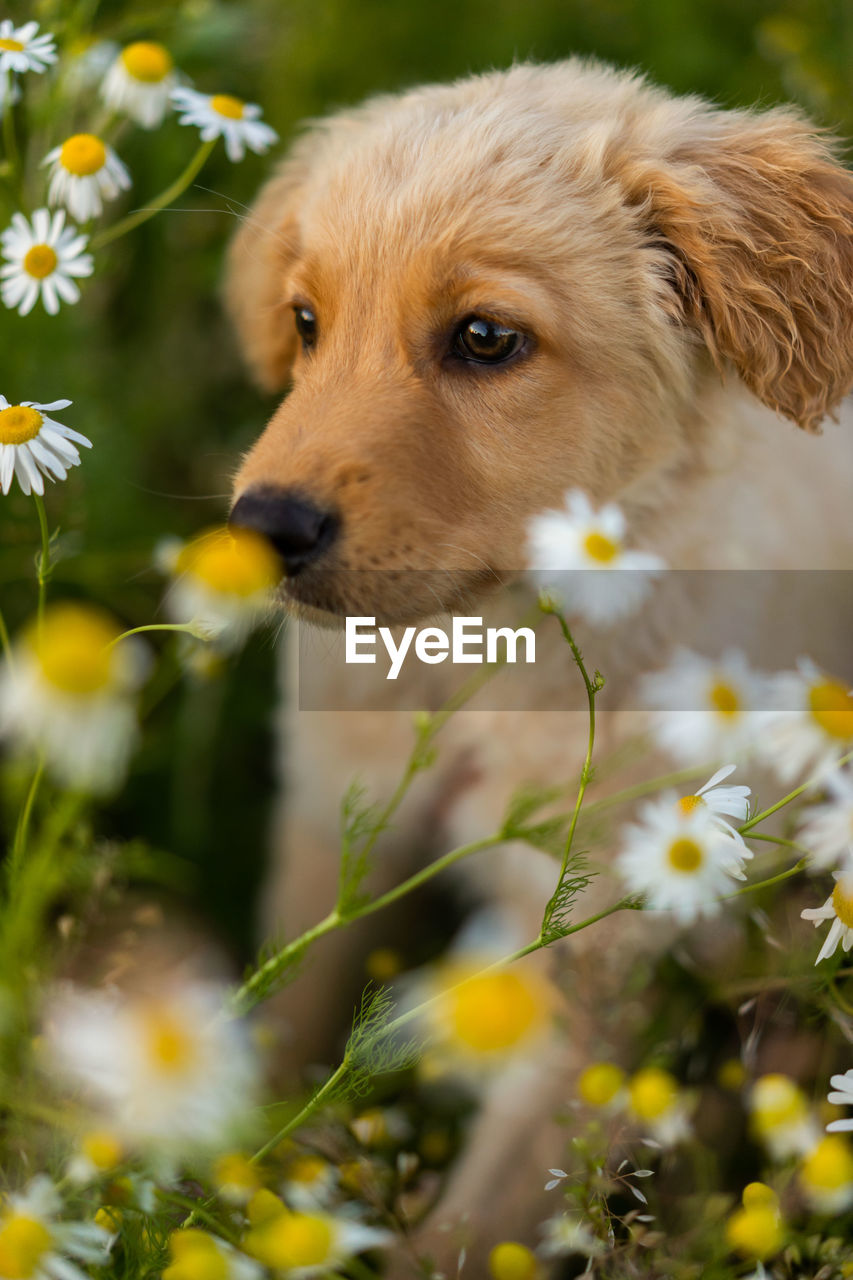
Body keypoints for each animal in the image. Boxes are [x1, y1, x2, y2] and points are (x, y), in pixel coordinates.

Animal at [224, 57, 850, 1269]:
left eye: (484, 338)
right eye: (307, 323)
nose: (260, 529)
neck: (486, 652)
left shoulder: (598, 962)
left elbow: (478, 1226)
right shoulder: (332, 816)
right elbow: (288, 1002)